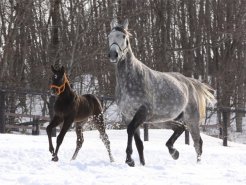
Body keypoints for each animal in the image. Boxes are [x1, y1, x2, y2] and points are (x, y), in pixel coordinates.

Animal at [107, 18, 215, 166]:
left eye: (124, 37)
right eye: (109, 36)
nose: (113, 54)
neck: (132, 78)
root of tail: (190, 82)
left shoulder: (141, 112)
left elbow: (130, 130)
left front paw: (129, 159)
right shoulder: (128, 115)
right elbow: (139, 143)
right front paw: (141, 163)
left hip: (191, 119)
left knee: (197, 142)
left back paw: (196, 163)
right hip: (161, 120)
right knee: (180, 128)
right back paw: (174, 152)